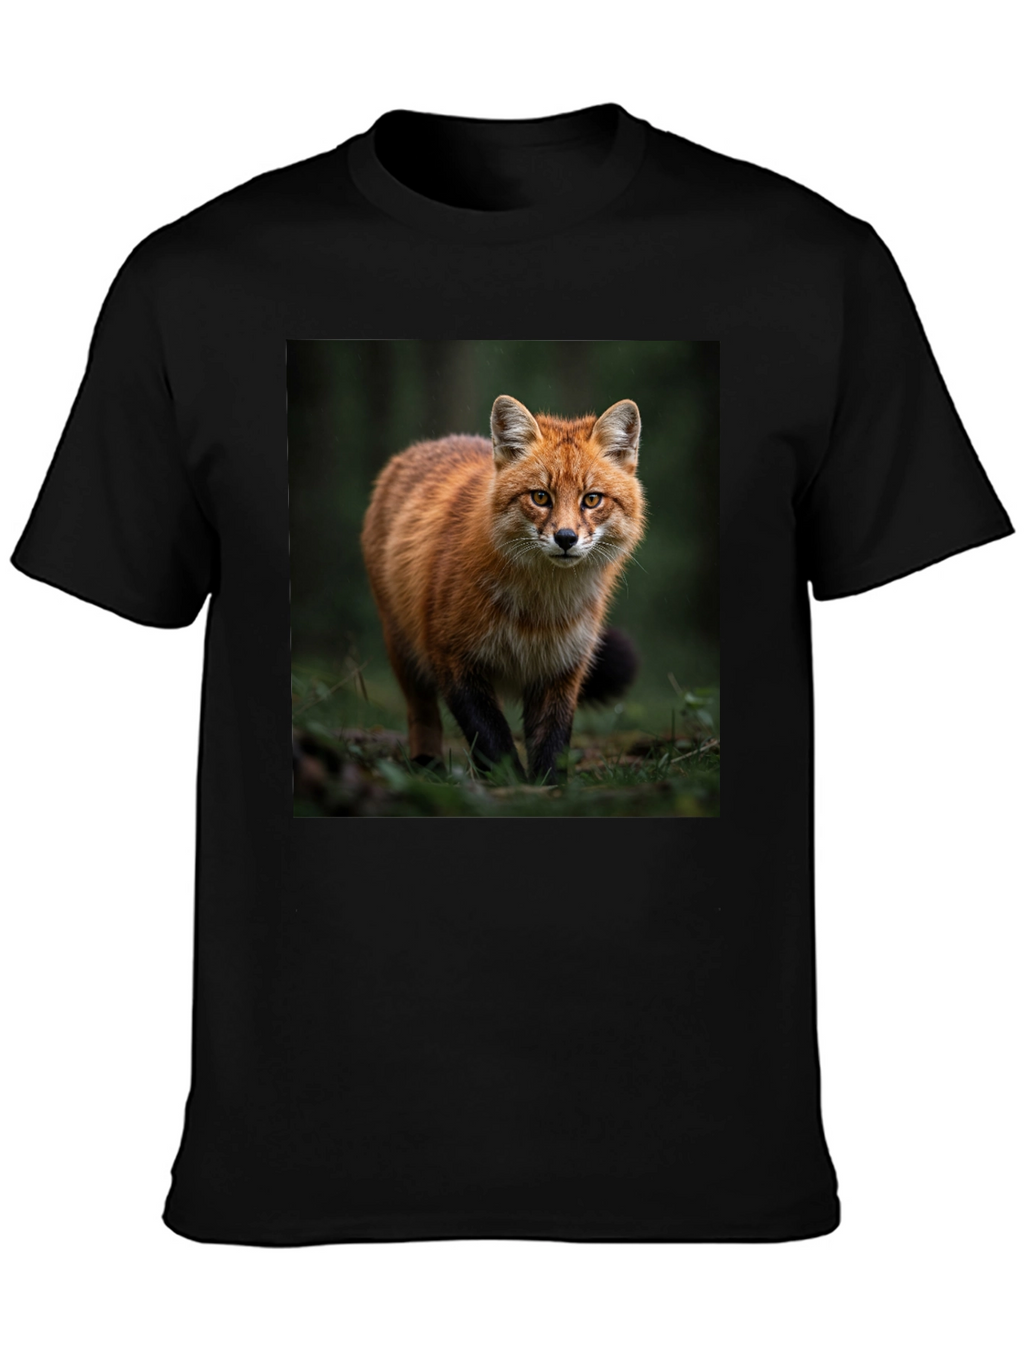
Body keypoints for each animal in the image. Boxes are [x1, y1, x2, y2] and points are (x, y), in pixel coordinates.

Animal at [361, 394, 646, 782]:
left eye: (591, 499)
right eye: (540, 497)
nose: (566, 538)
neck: (537, 615)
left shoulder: (562, 667)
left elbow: (552, 743)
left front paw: (548, 788)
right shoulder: (451, 658)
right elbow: (492, 739)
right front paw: (511, 785)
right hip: (404, 649)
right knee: (422, 715)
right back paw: (427, 765)